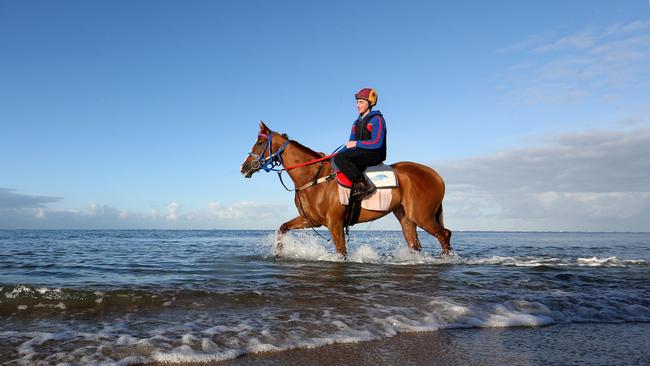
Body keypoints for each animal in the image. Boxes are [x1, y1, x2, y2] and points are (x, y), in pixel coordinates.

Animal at [239, 121, 450, 258]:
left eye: (259, 143)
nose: (244, 167)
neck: (313, 178)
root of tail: (436, 175)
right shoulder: (312, 220)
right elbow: (282, 228)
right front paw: (278, 253)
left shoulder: (335, 223)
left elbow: (341, 253)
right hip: (406, 217)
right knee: (416, 244)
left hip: (422, 216)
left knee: (444, 234)